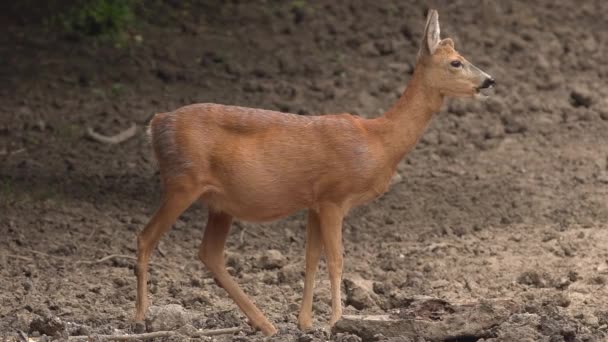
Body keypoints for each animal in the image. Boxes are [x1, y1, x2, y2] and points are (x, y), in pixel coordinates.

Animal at [134, 9, 494, 336]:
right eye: (456, 62)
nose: (490, 80)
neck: (378, 142)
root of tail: (156, 124)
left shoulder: (314, 202)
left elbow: (310, 258)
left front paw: (305, 322)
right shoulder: (335, 196)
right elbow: (337, 260)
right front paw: (336, 322)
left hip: (219, 202)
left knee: (210, 253)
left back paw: (265, 324)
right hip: (182, 181)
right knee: (146, 237)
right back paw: (140, 317)